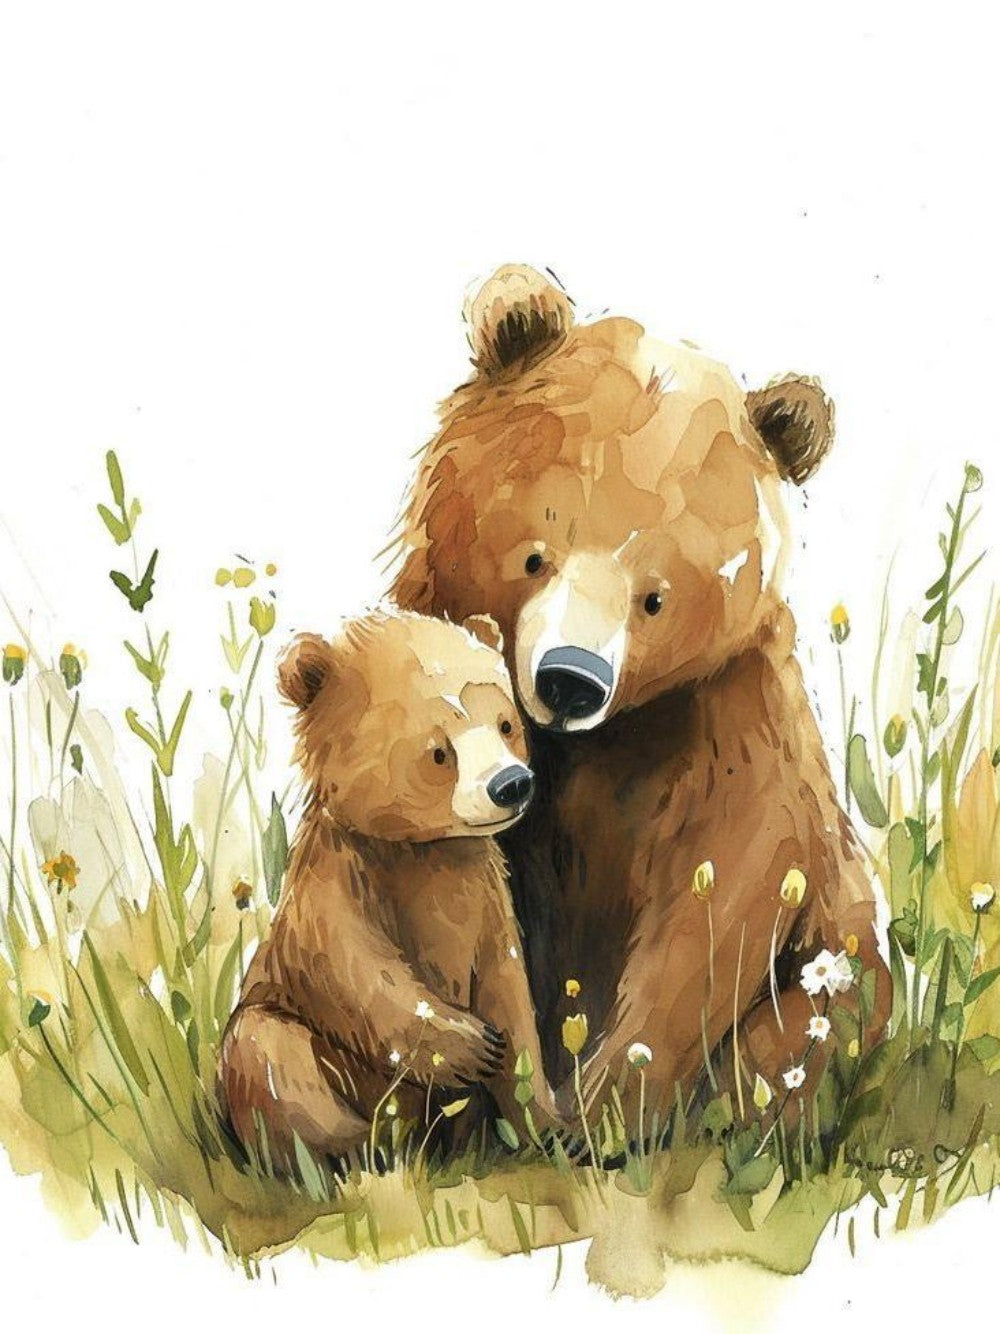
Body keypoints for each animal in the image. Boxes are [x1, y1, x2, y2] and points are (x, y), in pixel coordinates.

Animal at [218, 607, 556, 1171]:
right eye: (439, 751)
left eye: (506, 723)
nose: (511, 784)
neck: (422, 849)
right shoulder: (340, 879)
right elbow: (356, 971)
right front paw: (466, 1044)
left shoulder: (483, 894)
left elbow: (509, 993)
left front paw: (549, 1125)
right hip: (288, 1046)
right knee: (271, 1054)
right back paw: (359, 1147)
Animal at [389, 263, 890, 1123]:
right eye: (537, 553)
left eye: (654, 596)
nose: (570, 679)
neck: (599, 742)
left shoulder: (728, 717)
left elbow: (722, 891)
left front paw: (609, 1097)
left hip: (842, 961)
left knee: (808, 1022)